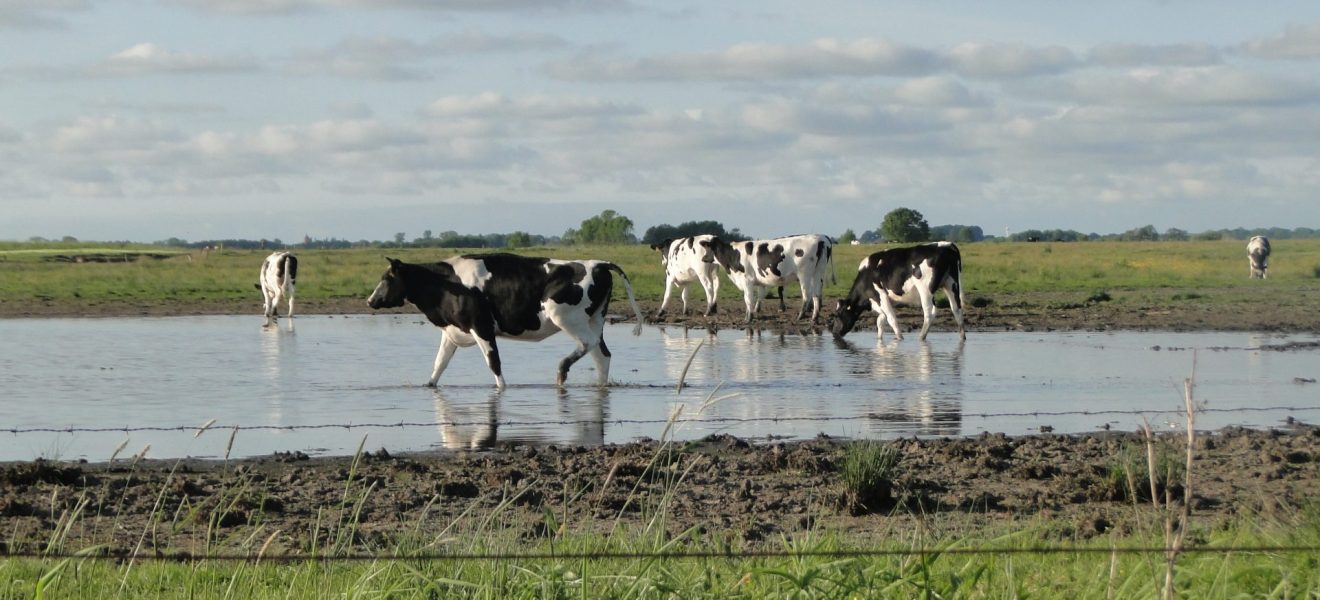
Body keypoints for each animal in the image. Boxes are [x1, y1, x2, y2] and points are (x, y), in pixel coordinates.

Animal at [366, 253, 644, 390]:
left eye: (387, 278)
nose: (370, 301)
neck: (445, 284)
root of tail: (596, 263)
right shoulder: (452, 331)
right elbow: (439, 364)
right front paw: (429, 385)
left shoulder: (481, 327)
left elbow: (493, 362)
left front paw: (502, 389)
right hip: (595, 319)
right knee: (601, 354)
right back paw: (600, 386)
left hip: (564, 316)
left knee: (587, 345)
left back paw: (561, 371)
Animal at [828, 241, 966, 342]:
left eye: (837, 315)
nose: (834, 333)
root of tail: (946, 245)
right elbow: (880, 320)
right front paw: (879, 339)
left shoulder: (880, 295)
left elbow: (891, 318)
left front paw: (899, 338)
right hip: (951, 284)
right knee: (956, 309)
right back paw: (962, 337)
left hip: (925, 289)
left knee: (930, 312)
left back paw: (921, 337)